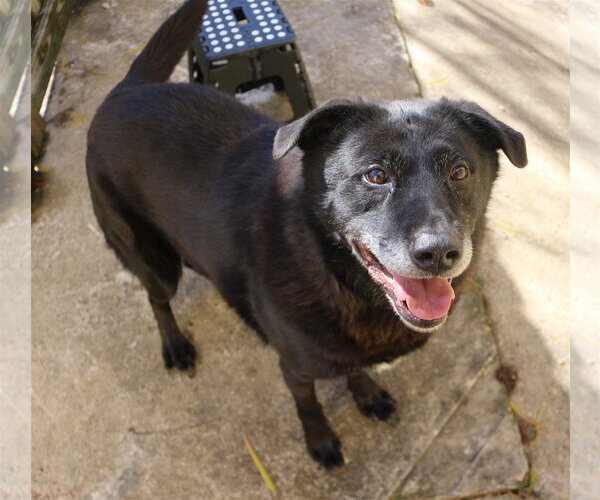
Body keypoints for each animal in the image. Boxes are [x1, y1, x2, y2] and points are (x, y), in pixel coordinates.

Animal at [84, 0, 524, 468]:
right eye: (375, 175)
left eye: (459, 172)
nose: (440, 253)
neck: (334, 274)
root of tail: (127, 89)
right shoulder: (294, 367)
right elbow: (308, 404)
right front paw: (321, 440)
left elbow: (354, 367)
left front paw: (366, 393)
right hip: (149, 255)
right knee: (157, 298)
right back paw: (175, 344)